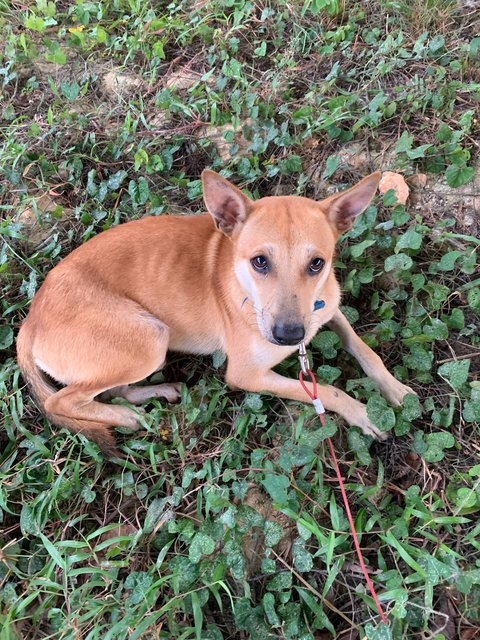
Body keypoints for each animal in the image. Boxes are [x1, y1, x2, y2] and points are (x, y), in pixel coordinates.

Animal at [15, 171, 412, 456]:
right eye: (259, 262)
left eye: (317, 264)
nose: (289, 336)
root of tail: (28, 325)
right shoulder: (246, 375)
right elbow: (327, 391)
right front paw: (362, 413)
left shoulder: (327, 310)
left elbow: (363, 349)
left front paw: (393, 388)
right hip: (150, 337)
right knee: (61, 400)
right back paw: (125, 418)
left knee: (114, 391)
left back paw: (157, 393)